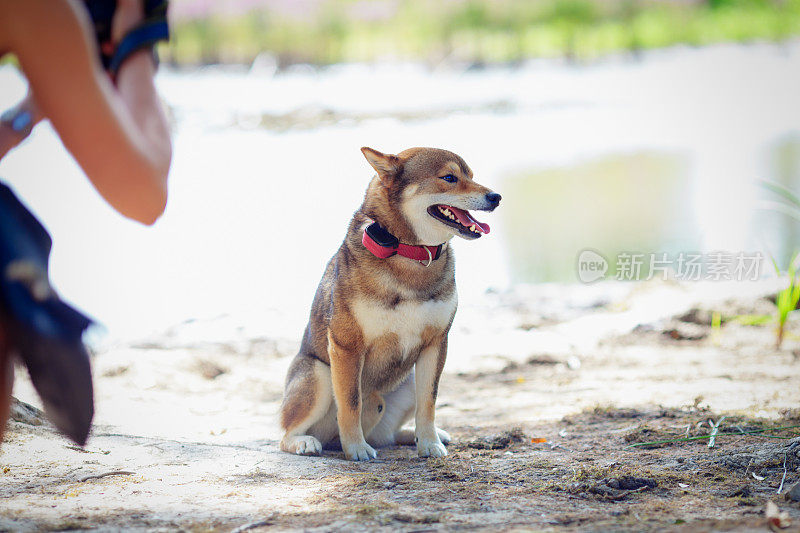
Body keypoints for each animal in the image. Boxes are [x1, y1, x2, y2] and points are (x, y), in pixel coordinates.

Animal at [280, 147, 500, 462]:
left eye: (471, 175)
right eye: (449, 178)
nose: (496, 197)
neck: (411, 253)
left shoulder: (436, 344)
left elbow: (428, 403)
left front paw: (429, 443)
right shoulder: (347, 346)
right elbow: (351, 404)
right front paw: (356, 448)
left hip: (408, 380)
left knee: (386, 435)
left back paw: (414, 436)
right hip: (318, 375)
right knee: (286, 433)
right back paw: (305, 442)